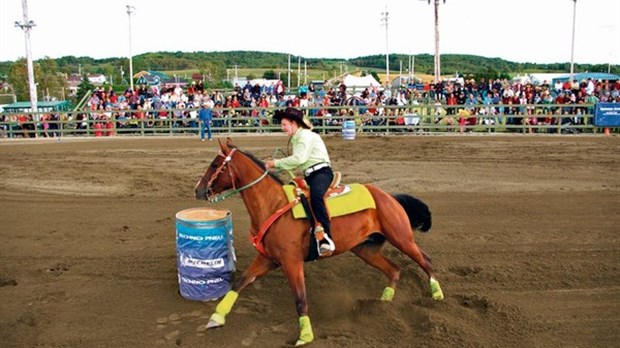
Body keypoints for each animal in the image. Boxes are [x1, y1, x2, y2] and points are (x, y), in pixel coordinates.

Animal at [196, 138, 444, 346]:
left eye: (215, 164)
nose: (198, 190)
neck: (274, 204)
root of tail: (389, 196)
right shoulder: (268, 259)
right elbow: (239, 283)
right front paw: (215, 318)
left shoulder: (292, 262)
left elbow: (300, 299)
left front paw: (305, 335)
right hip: (366, 249)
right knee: (394, 269)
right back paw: (384, 301)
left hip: (402, 238)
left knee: (425, 260)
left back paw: (436, 295)